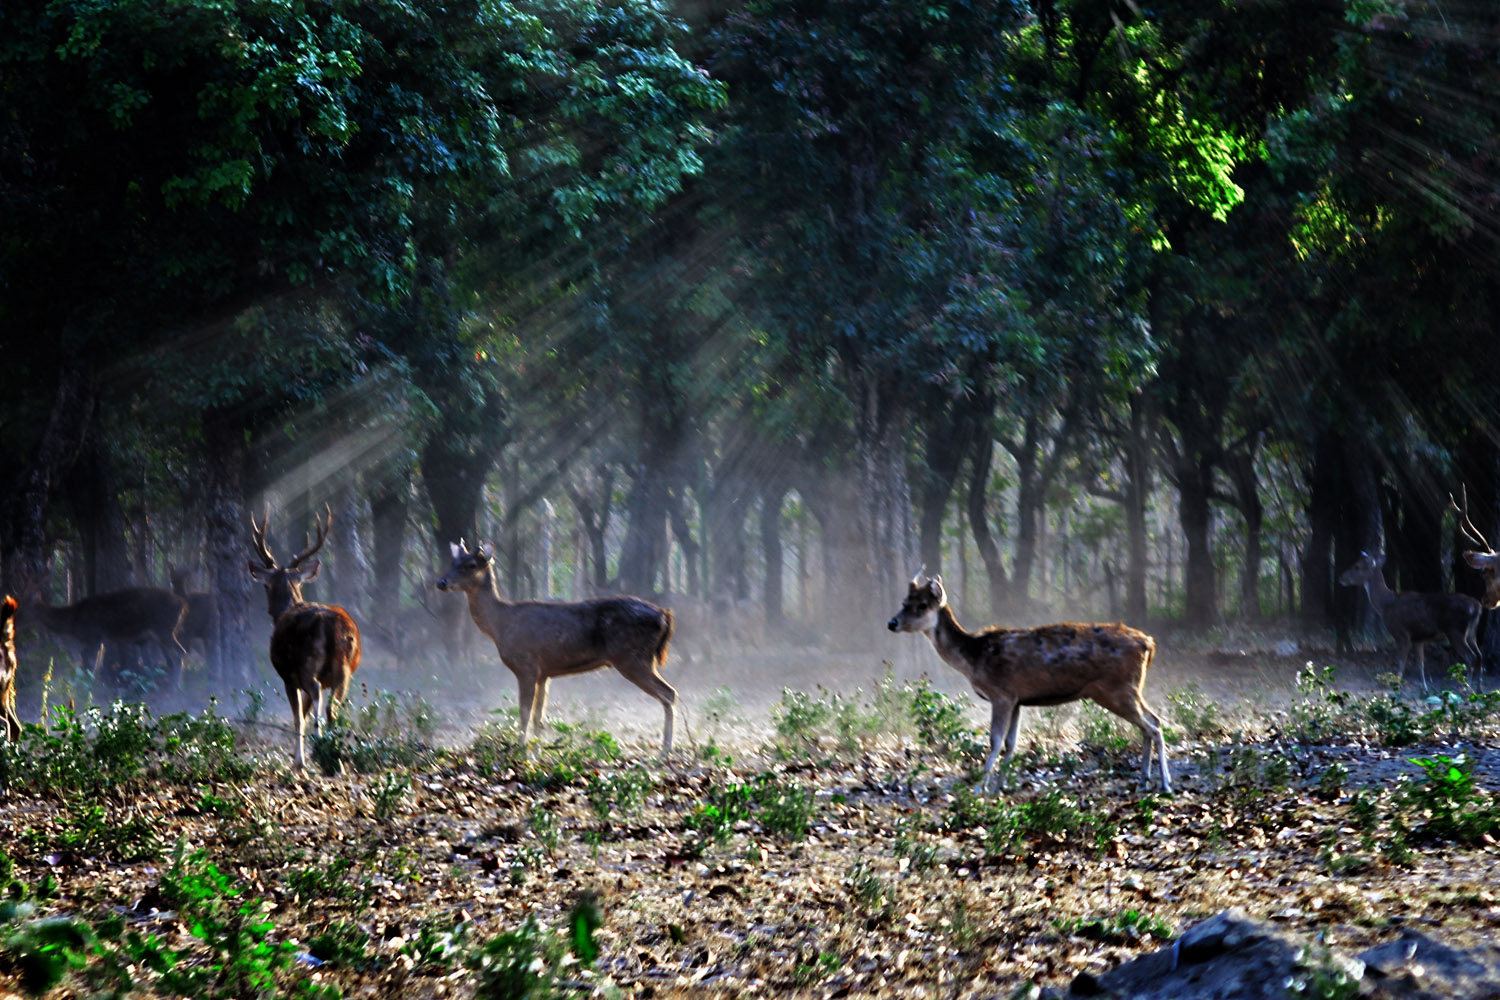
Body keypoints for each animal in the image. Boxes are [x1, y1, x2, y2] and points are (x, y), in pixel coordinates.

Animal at [27, 587, 187, 689]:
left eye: (25, 607)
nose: (20, 620)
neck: (74, 622)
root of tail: (183, 605)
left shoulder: (94, 637)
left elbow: (89, 662)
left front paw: (89, 688)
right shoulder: (101, 641)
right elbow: (97, 663)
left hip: (164, 630)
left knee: (180, 653)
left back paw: (176, 687)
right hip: (159, 635)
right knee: (174, 655)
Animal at [249, 503, 363, 773]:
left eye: (266, 585)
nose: (268, 609)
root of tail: (330, 625)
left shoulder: (288, 676)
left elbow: (299, 717)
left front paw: (298, 761)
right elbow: (306, 711)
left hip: (306, 664)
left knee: (320, 701)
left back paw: (320, 751)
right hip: (345, 669)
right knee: (334, 708)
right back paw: (336, 757)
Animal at [438, 539, 678, 758]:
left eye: (471, 564)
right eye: (452, 561)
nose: (441, 582)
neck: (500, 626)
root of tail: (664, 615)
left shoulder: (526, 665)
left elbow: (524, 712)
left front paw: (522, 751)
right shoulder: (544, 673)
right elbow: (539, 716)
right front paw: (538, 752)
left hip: (632, 657)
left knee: (669, 693)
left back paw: (665, 751)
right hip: (637, 658)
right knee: (669, 693)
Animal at [882, 575, 1164, 791]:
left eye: (922, 605)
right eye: (904, 602)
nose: (891, 622)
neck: (973, 658)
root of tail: (1149, 643)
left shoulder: (1002, 693)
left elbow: (995, 741)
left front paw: (980, 788)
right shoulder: (1018, 699)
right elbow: (1011, 743)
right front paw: (1000, 786)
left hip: (1117, 688)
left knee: (1154, 726)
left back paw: (1165, 784)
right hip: (1129, 689)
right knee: (1153, 721)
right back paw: (1143, 781)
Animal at [1338, 551, 1476, 692]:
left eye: (1357, 566)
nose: (1341, 577)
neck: (1386, 605)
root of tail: (1476, 606)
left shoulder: (1401, 634)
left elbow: (1401, 663)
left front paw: (1396, 685)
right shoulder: (1418, 639)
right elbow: (1420, 664)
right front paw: (1425, 688)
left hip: (1456, 631)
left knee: (1470, 657)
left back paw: (1467, 688)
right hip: (1471, 634)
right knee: (1478, 657)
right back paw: (1477, 688)